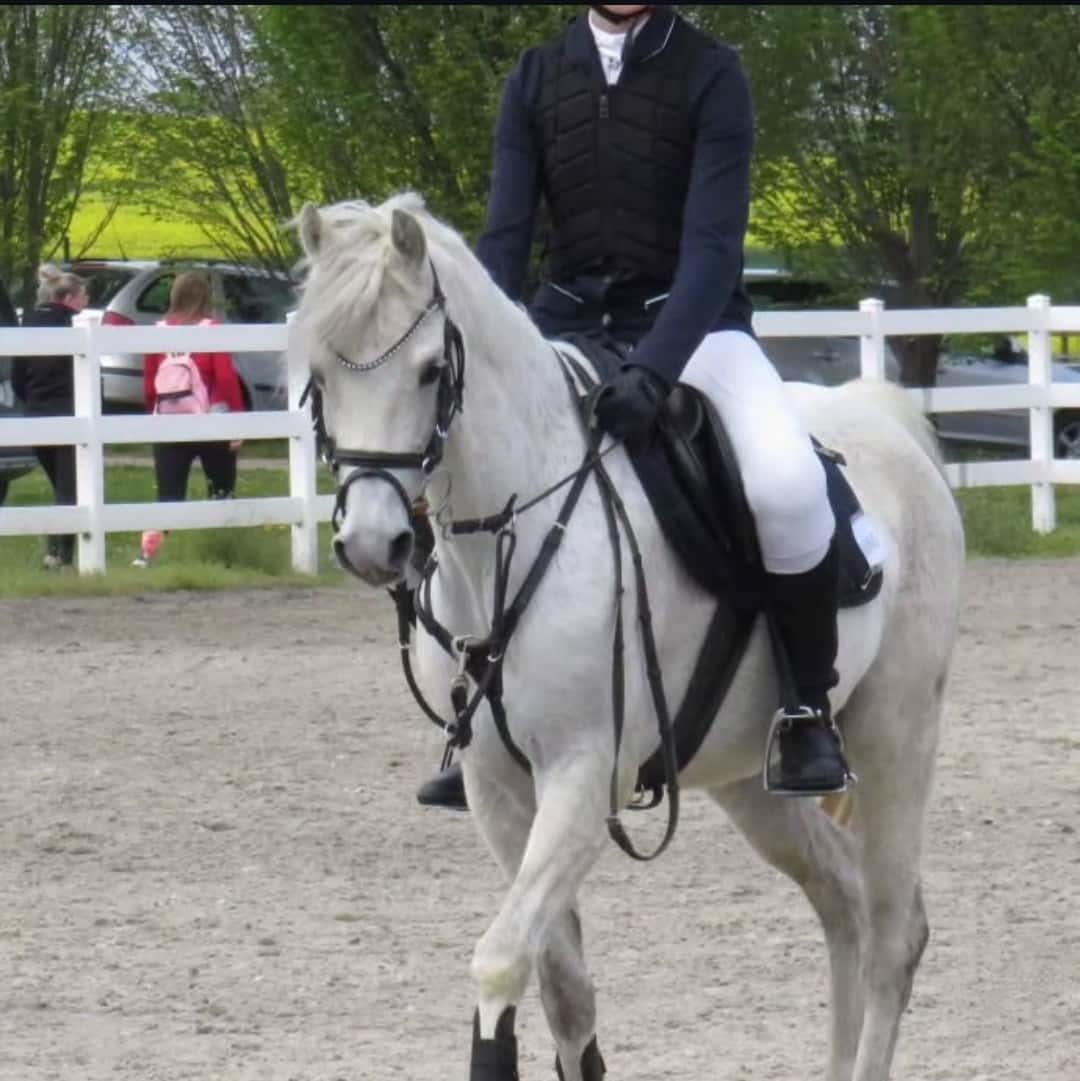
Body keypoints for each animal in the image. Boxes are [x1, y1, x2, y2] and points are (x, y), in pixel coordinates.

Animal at [289, 191, 965, 1081]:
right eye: (320, 374)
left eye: (432, 370)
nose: (374, 544)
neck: (512, 536)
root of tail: (882, 419)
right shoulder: (497, 792)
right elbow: (564, 991)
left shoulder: (583, 778)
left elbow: (499, 961)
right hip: (749, 780)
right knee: (841, 898)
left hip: (896, 736)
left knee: (892, 935)